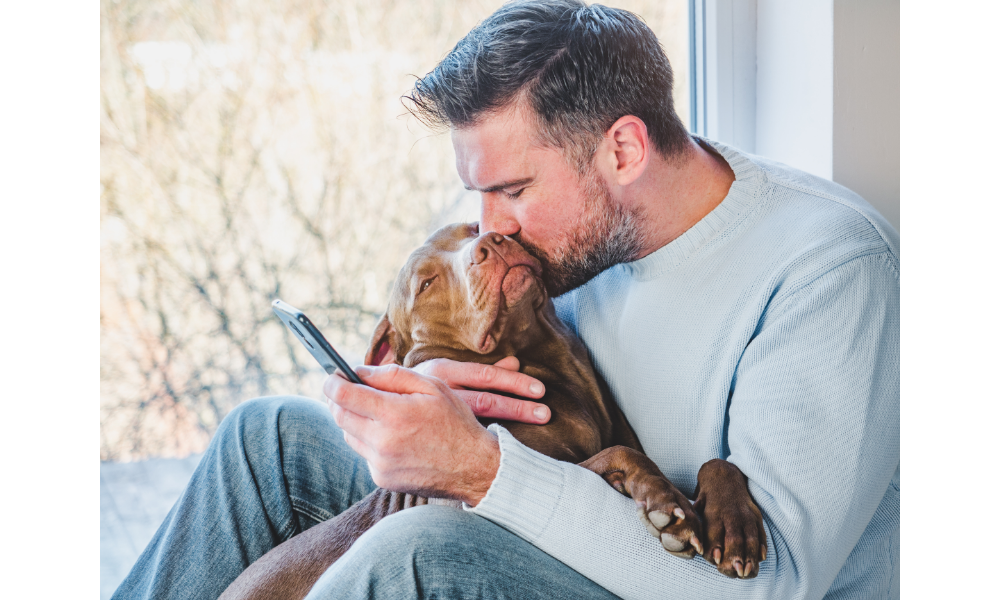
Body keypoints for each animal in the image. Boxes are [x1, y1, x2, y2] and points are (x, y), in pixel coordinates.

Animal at [221, 223, 764, 596]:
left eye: (471, 228)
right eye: (425, 284)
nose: (493, 242)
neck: (551, 359)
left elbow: (717, 462)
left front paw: (735, 527)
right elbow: (620, 457)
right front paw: (669, 508)